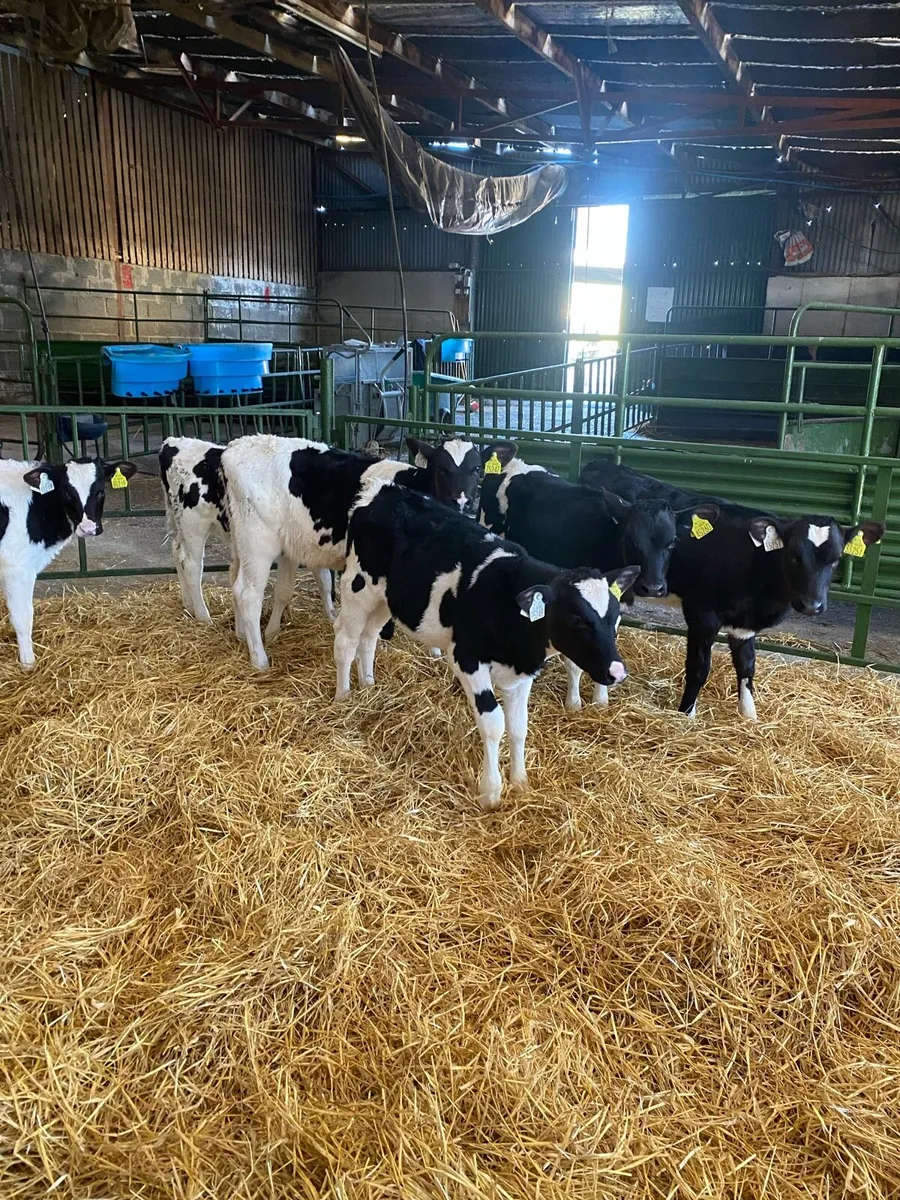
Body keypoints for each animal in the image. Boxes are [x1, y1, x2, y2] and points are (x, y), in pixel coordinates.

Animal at [0, 456, 137, 667]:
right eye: (67, 493)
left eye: (101, 490)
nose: (88, 528)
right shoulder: (17, 567)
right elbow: (22, 617)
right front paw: (28, 664)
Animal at [221, 435, 487, 670]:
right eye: (442, 468)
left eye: (476, 469)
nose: (460, 500)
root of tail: (236, 446)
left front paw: (434, 651)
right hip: (257, 543)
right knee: (248, 594)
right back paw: (259, 660)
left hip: (245, 541)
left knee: (237, 578)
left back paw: (244, 634)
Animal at [334, 475, 639, 810]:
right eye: (578, 620)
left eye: (615, 618)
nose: (617, 672)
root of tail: (382, 488)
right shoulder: (467, 658)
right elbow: (494, 723)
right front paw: (491, 792)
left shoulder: (522, 671)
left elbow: (519, 726)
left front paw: (520, 782)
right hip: (358, 587)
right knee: (346, 641)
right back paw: (343, 696)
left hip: (385, 600)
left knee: (369, 637)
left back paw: (368, 684)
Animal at [579, 457, 885, 719]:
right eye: (794, 555)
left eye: (836, 559)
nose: (813, 605)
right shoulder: (702, 614)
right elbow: (699, 668)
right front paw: (685, 715)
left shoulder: (744, 624)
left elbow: (747, 666)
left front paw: (750, 716)